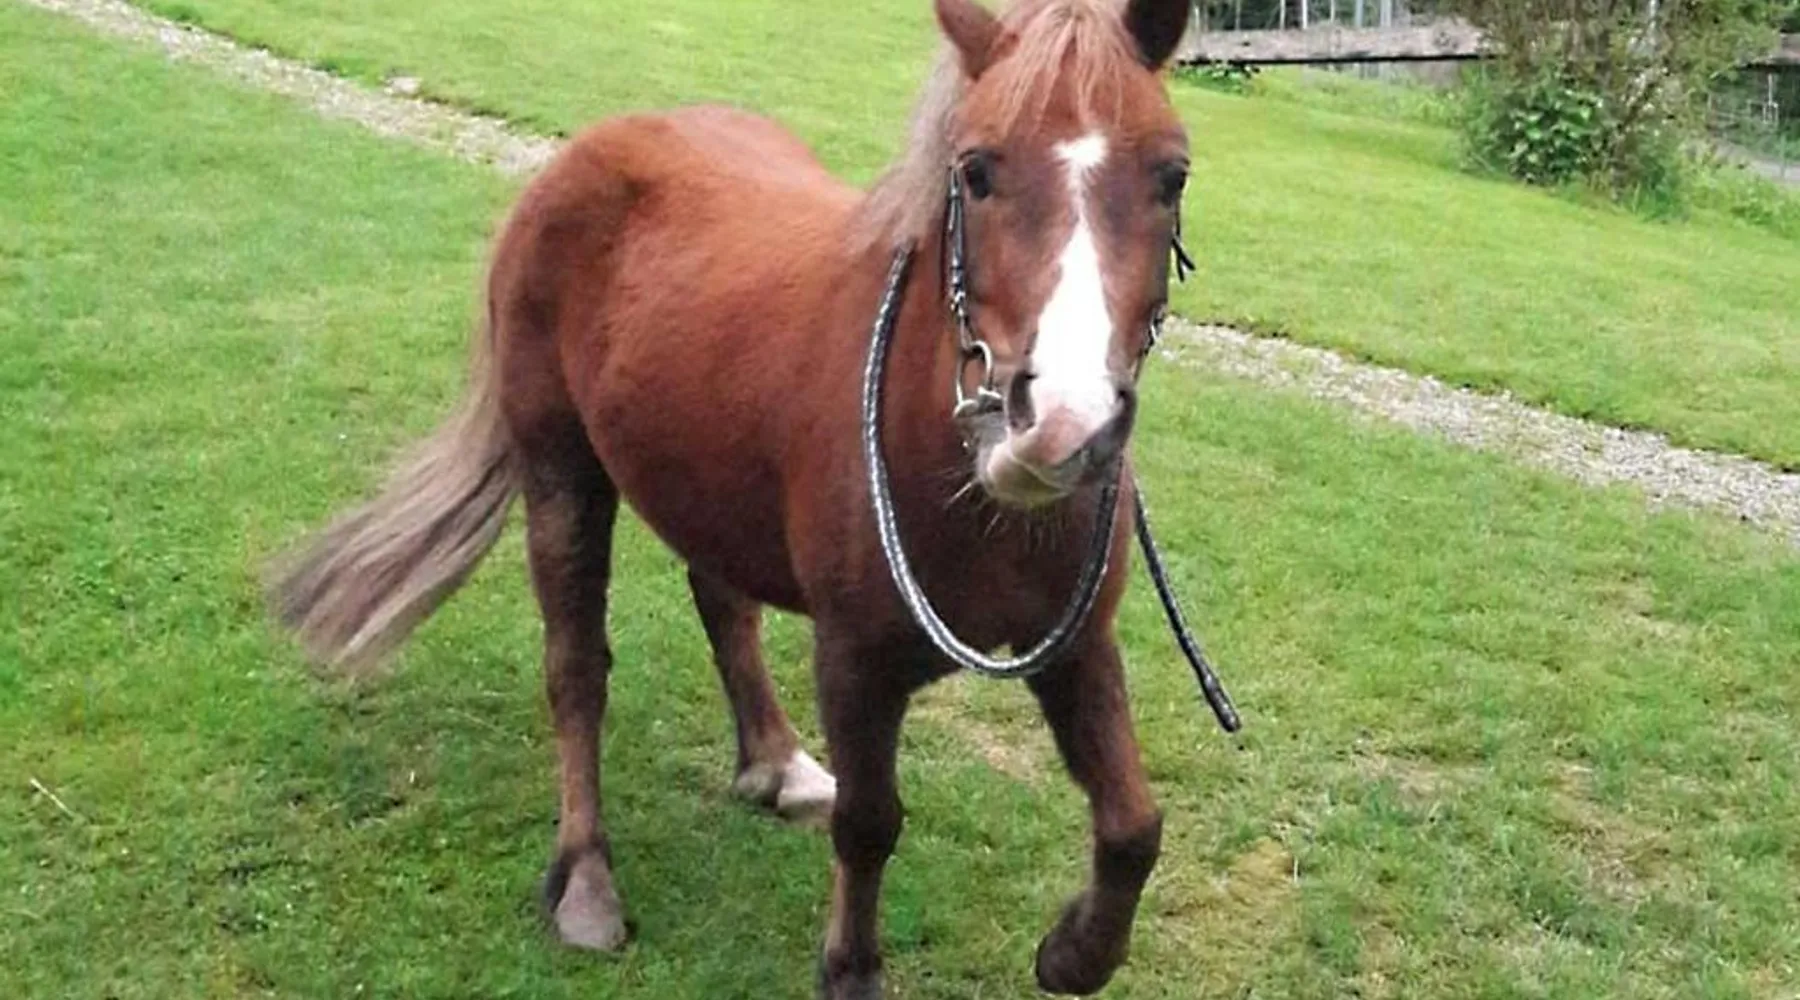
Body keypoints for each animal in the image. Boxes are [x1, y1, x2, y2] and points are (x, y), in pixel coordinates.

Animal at [271, 0, 1198, 995]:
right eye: (976, 170)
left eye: (1171, 174)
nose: (1061, 426)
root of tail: (591, 149)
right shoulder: (855, 657)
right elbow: (870, 824)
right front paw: (850, 968)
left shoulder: (1078, 647)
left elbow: (1134, 827)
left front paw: (1071, 952)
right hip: (561, 470)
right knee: (575, 668)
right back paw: (587, 878)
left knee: (721, 602)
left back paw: (777, 763)